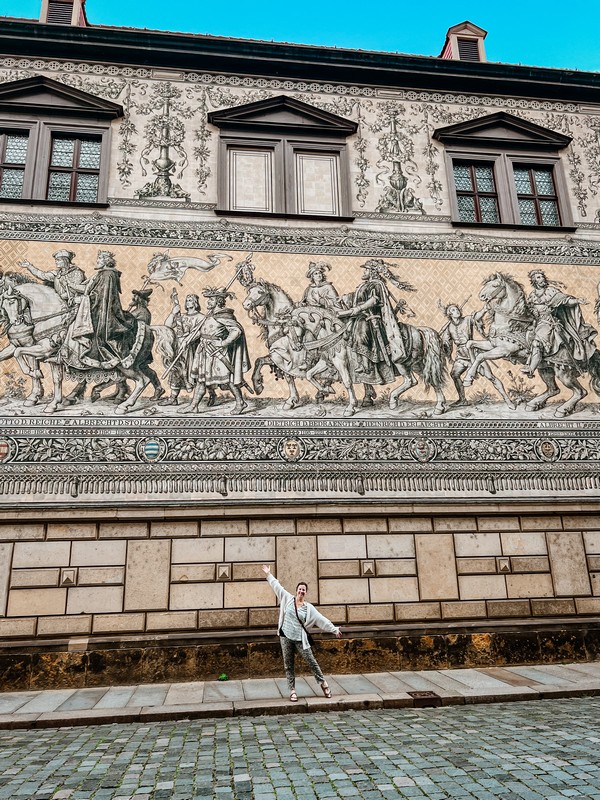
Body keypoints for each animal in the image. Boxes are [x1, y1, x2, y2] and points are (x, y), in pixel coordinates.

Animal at [466, 272, 600, 416]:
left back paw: (562, 409)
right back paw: (534, 403)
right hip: (546, 369)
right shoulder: (492, 345)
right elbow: (470, 345)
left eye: (495, 285)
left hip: (564, 372)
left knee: (580, 392)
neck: (508, 321)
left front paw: (469, 377)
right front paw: (474, 373)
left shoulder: (504, 350)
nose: (481, 296)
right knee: (554, 389)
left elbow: (481, 356)